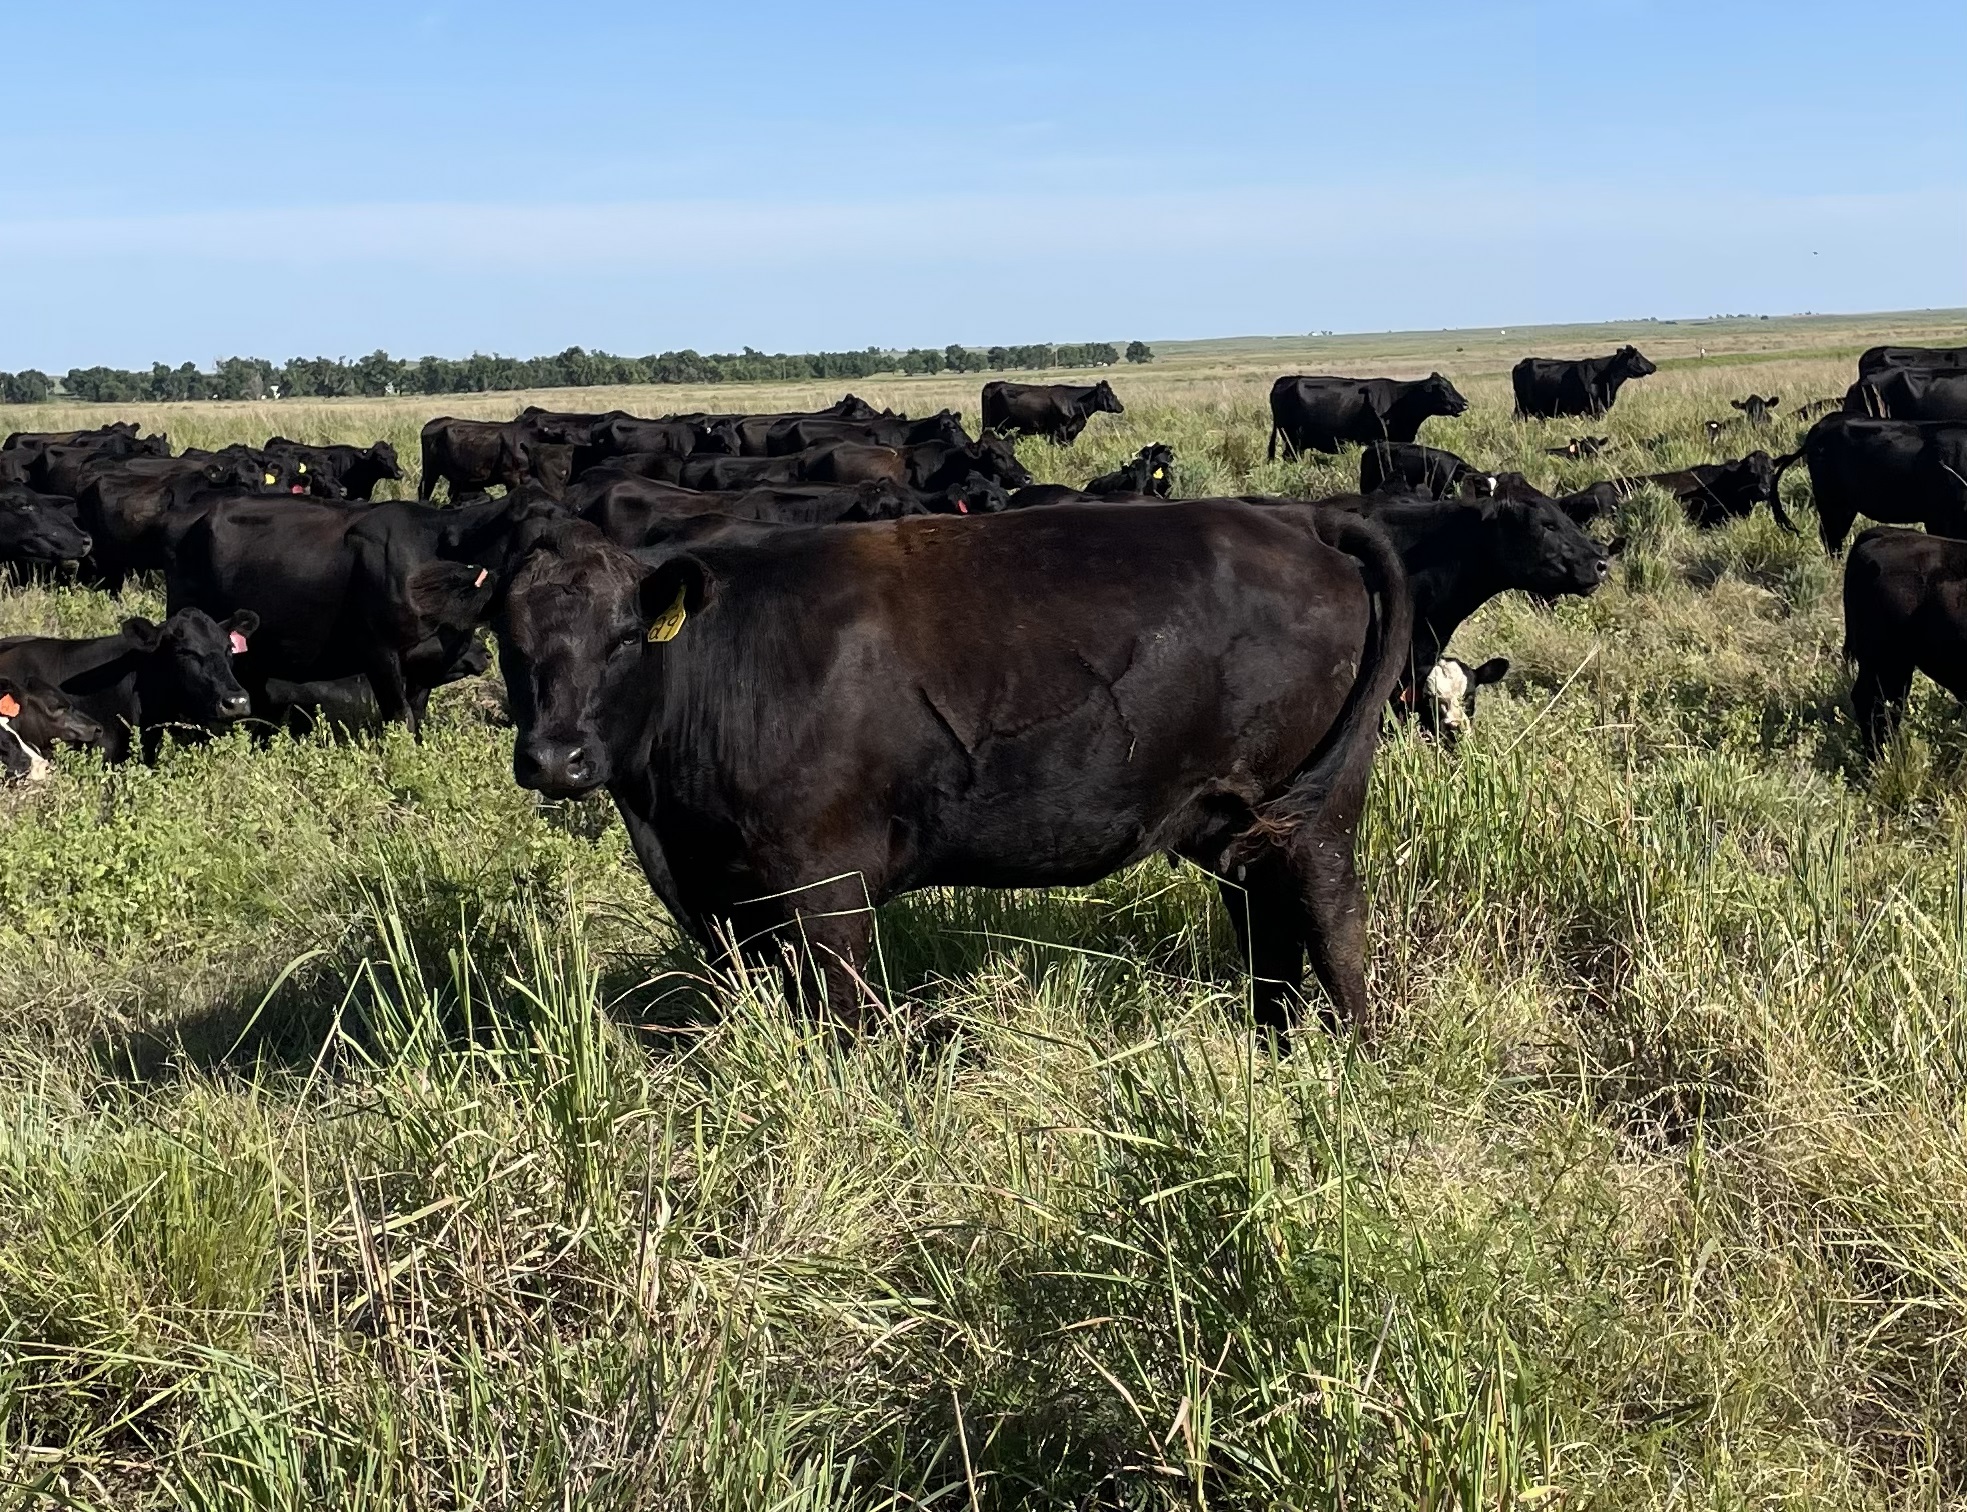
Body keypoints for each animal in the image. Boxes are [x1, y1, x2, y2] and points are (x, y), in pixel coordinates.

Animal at [475, 502, 1412, 1036]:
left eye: (624, 636)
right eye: (508, 643)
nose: (555, 758)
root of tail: (1298, 519)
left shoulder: (825, 891)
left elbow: (841, 1025)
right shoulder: (724, 905)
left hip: (1318, 814)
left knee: (1333, 923)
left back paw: (1353, 1061)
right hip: (1236, 821)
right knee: (1266, 929)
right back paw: (1272, 1047)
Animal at [980, 380, 1124, 445]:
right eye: (1106, 393)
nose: (1121, 407)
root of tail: (993, 384)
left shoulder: (1071, 432)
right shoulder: (1059, 430)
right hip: (994, 425)